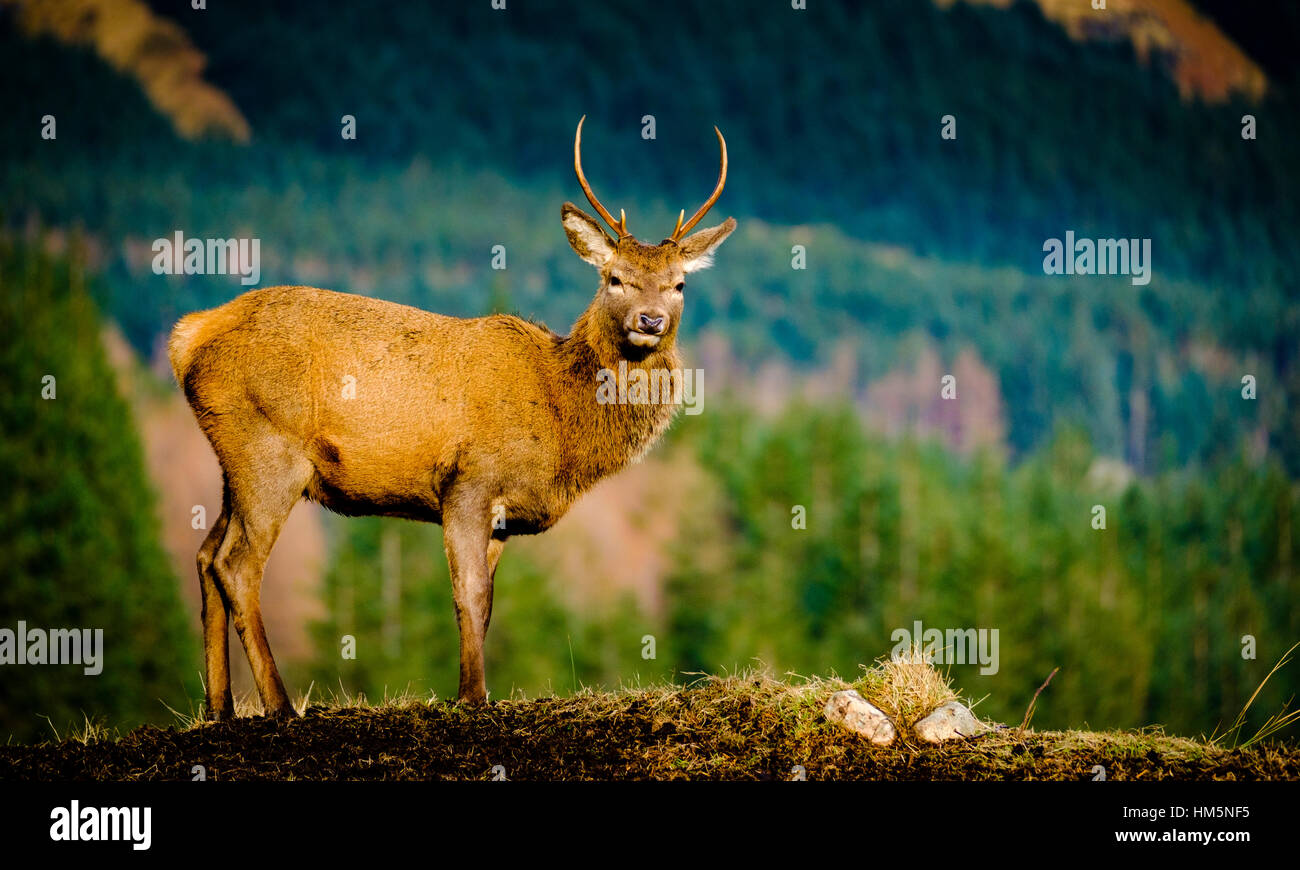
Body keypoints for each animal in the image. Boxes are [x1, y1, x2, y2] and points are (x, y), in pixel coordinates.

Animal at [168, 117, 735, 719]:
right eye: (615, 278)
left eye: (679, 284)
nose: (649, 321)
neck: (560, 422)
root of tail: (189, 338)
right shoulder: (468, 481)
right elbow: (469, 592)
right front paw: (472, 695)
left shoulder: (502, 518)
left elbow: (486, 604)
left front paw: (469, 689)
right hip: (267, 450)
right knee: (236, 565)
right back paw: (279, 705)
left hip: (232, 461)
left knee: (205, 556)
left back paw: (221, 707)